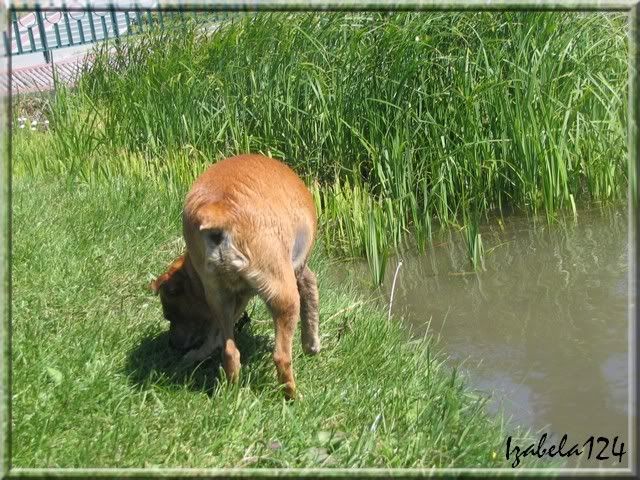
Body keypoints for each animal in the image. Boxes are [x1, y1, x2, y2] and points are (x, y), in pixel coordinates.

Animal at [151, 154, 320, 399]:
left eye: (170, 315)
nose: (172, 345)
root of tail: (219, 210)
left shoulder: (233, 300)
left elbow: (214, 337)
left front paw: (196, 355)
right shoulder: (300, 272)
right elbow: (311, 299)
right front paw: (311, 346)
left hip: (219, 298)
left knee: (230, 352)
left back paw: (231, 393)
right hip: (284, 296)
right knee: (281, 357)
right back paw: (292, 397)